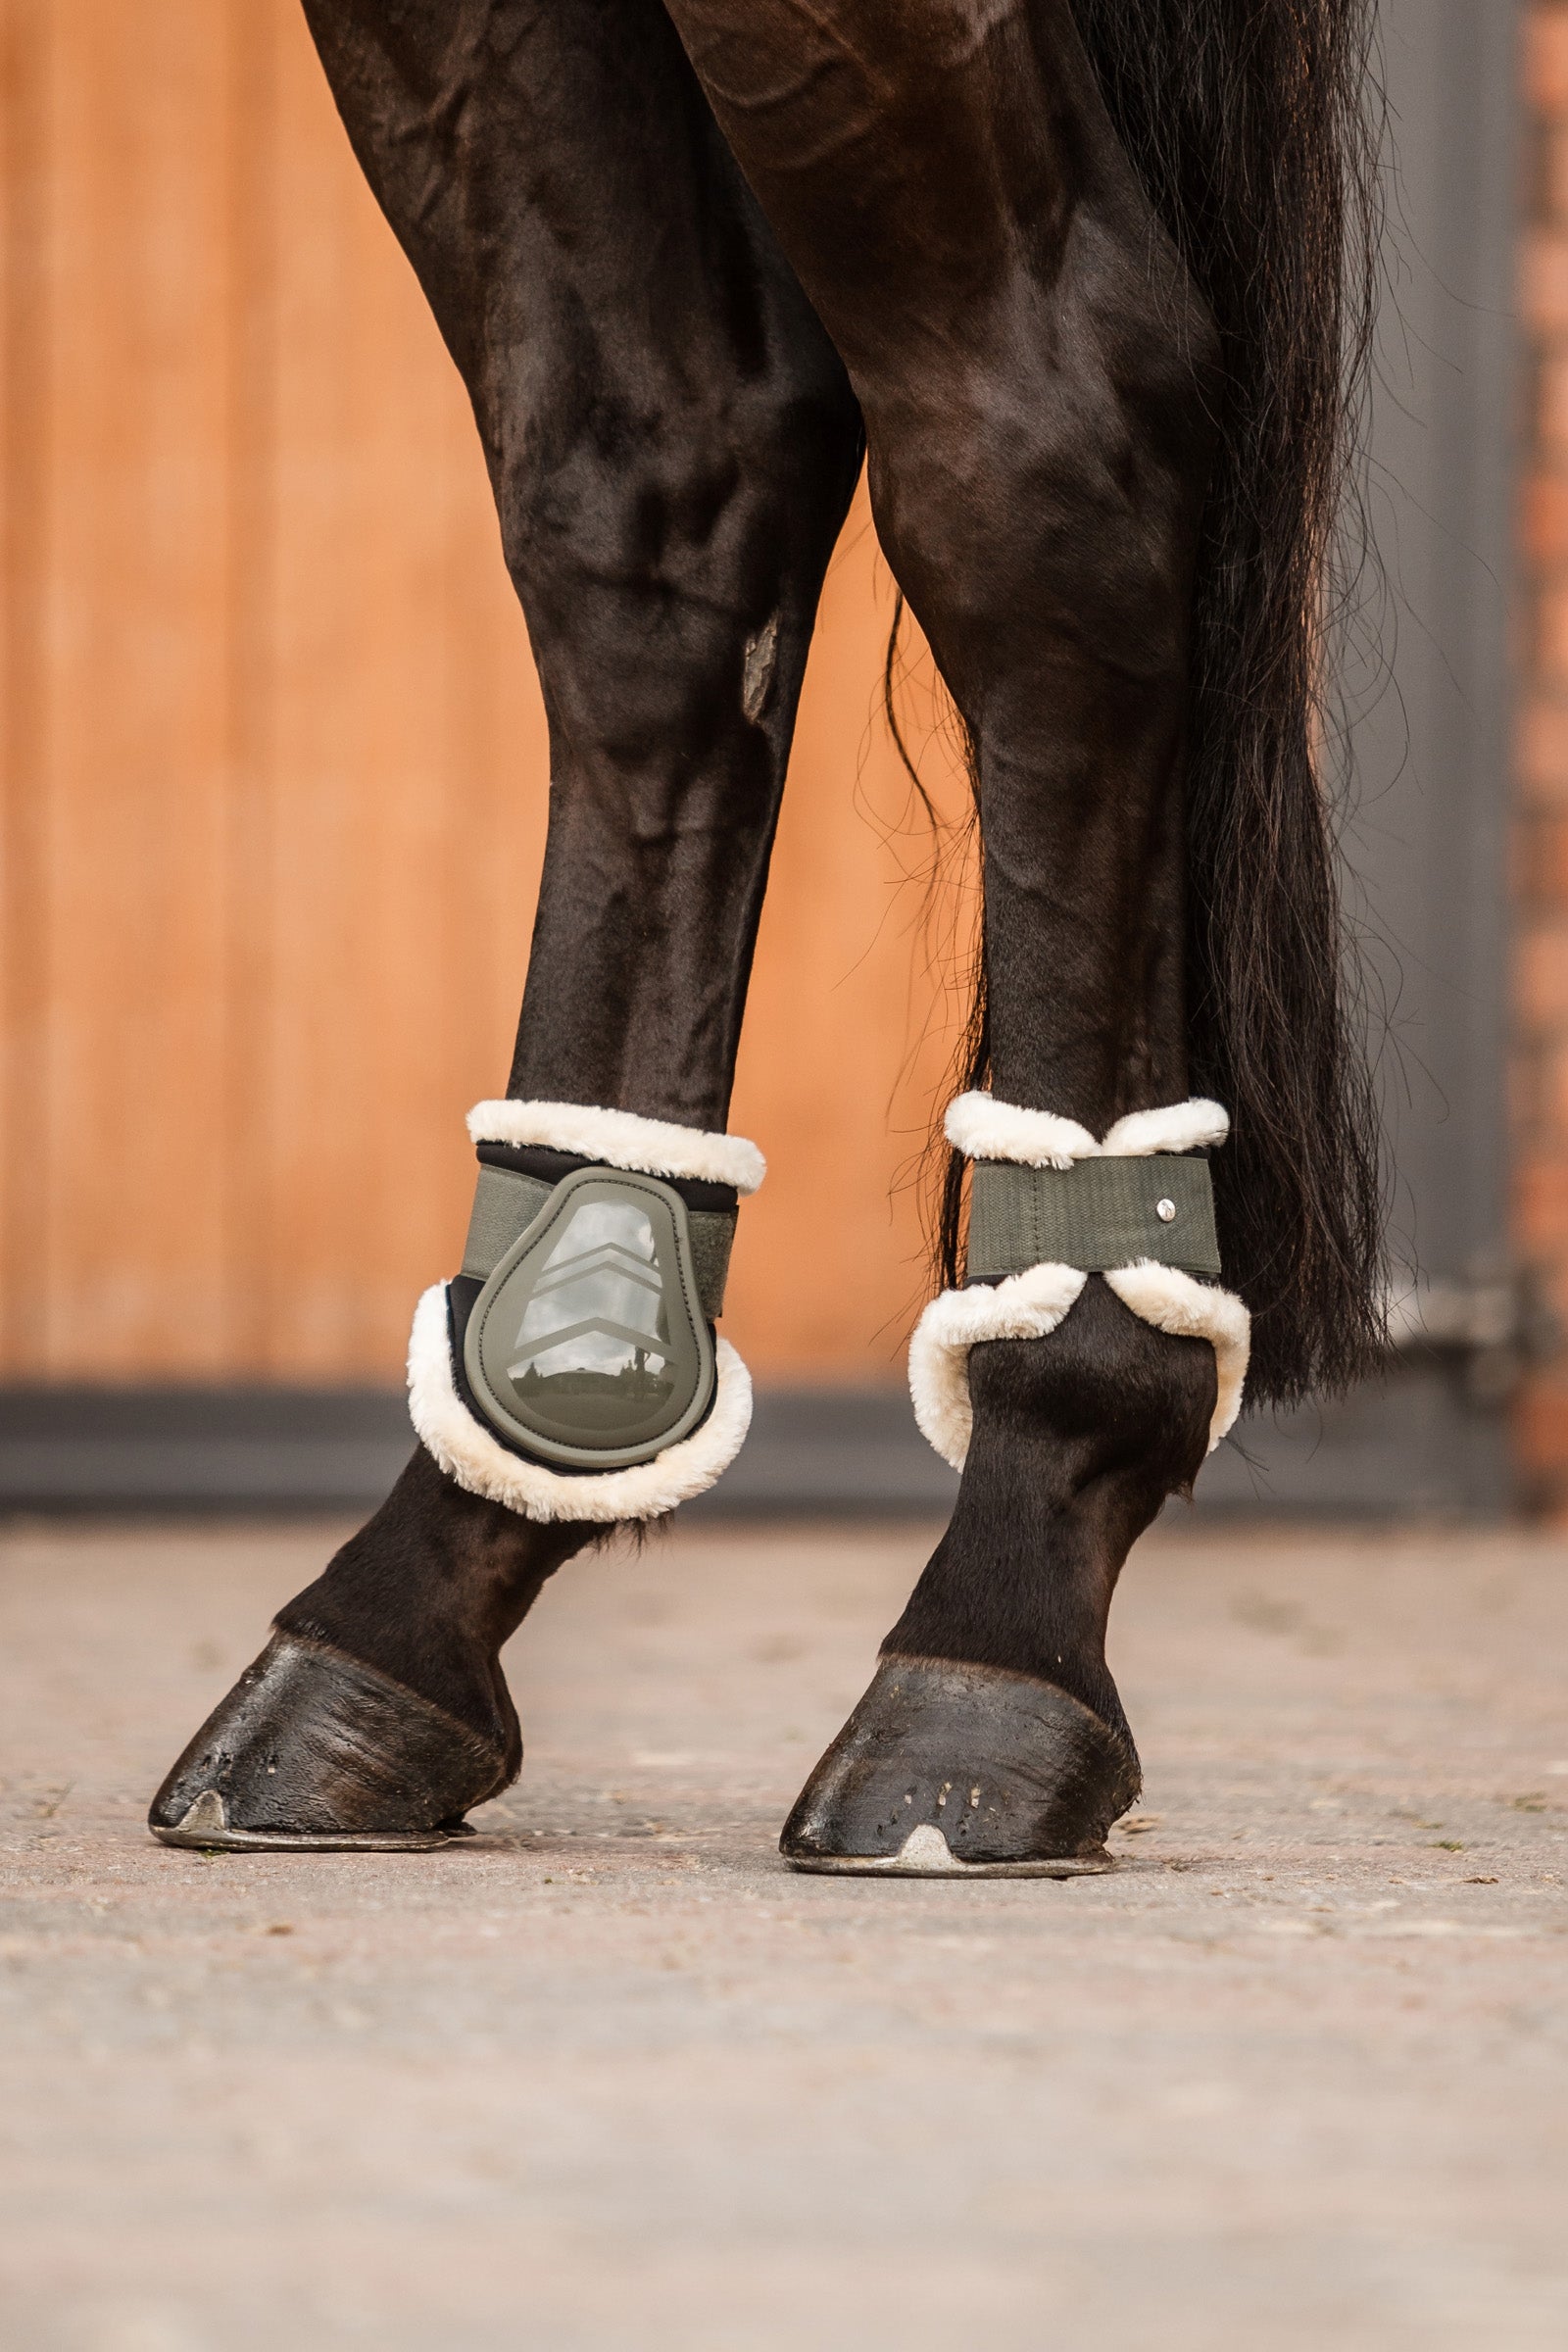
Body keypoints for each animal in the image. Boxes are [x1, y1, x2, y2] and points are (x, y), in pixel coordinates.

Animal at [149, 0, 1385, 1872]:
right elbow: (645, 490)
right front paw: (417, 1614)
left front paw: (995, 1659)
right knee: (677, 477)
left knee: (1037, 421)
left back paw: (984, 1648)